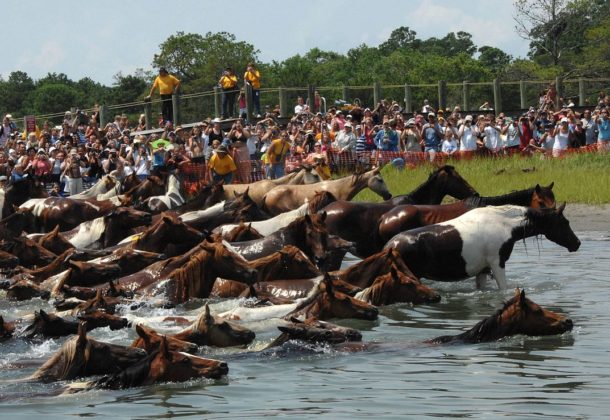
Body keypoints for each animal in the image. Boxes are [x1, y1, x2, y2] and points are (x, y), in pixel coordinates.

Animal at [384, 203, 580, 288]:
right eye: (565, 222)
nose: (577, 243)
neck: (504, 223)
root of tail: (391, 245)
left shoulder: (483, 270)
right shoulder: (497, 264)